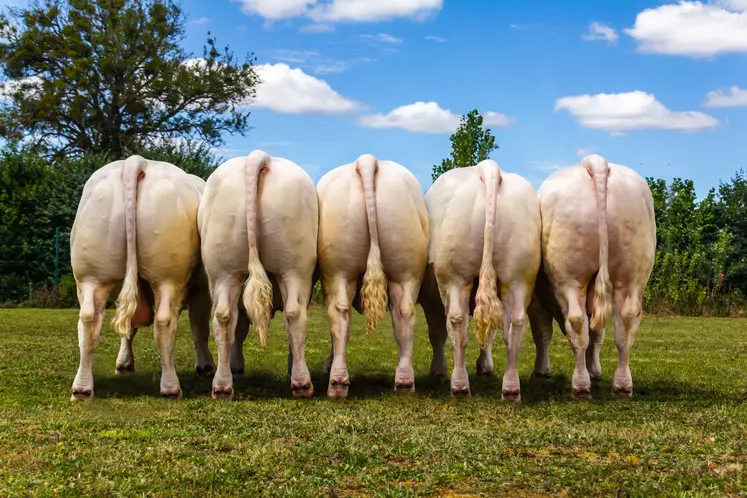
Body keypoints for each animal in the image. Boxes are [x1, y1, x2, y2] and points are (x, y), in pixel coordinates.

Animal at [69, 156, 213, 400]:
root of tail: (137, 161)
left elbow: (129, 327)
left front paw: (124, 363)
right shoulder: (202, 290)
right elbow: (199, 328)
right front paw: (205, 366)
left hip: (92, 275)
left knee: (89, 320)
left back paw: (81, 388)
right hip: (168, 277)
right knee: (164, 322)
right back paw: (171, 387)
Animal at [197, 151, 318, 400]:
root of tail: (260, 156)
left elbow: (239, 325)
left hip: (222, 271)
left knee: (223, 317)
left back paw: (222, 386)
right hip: (295, 269)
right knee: (294, 315)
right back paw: (302, 383)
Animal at [316, 154, 430, 398]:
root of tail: (367, 160)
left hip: (337, 270)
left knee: (339, 313)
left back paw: (337, 383)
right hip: (406, 268)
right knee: (404, 312)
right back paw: (404, 382)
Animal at [418, 161, 540, 398]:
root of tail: (488, 168)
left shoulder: (431, 298)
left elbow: (437, 333)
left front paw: (438, 370)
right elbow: (490, 330)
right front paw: (485, 366)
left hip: (455, 275)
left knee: (457, 321)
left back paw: (459, 385)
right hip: (519, 274)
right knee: (515, 322)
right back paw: (511, 388)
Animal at [528, 154, 656, 398]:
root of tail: (595, 162)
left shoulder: (535, 302)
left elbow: (543, 335)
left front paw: (541, 371)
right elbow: (596, 334)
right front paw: (595, 371)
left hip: (570, 277)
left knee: (576, 322)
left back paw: (580, 385)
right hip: (632, 274)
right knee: (625, 322)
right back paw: (622, 385)